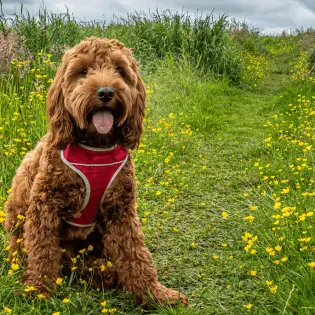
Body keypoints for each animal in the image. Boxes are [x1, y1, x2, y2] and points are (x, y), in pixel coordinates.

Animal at [4, 37, 188, 306]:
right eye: (83, 71)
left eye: (120, 70)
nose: (106, 92)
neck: (95, 147)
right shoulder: (44, 207)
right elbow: (42, 253)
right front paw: (38, 290)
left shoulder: (121, 210)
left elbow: (136, 254)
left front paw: (154, 293)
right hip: (19, 224)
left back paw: (103, 273)